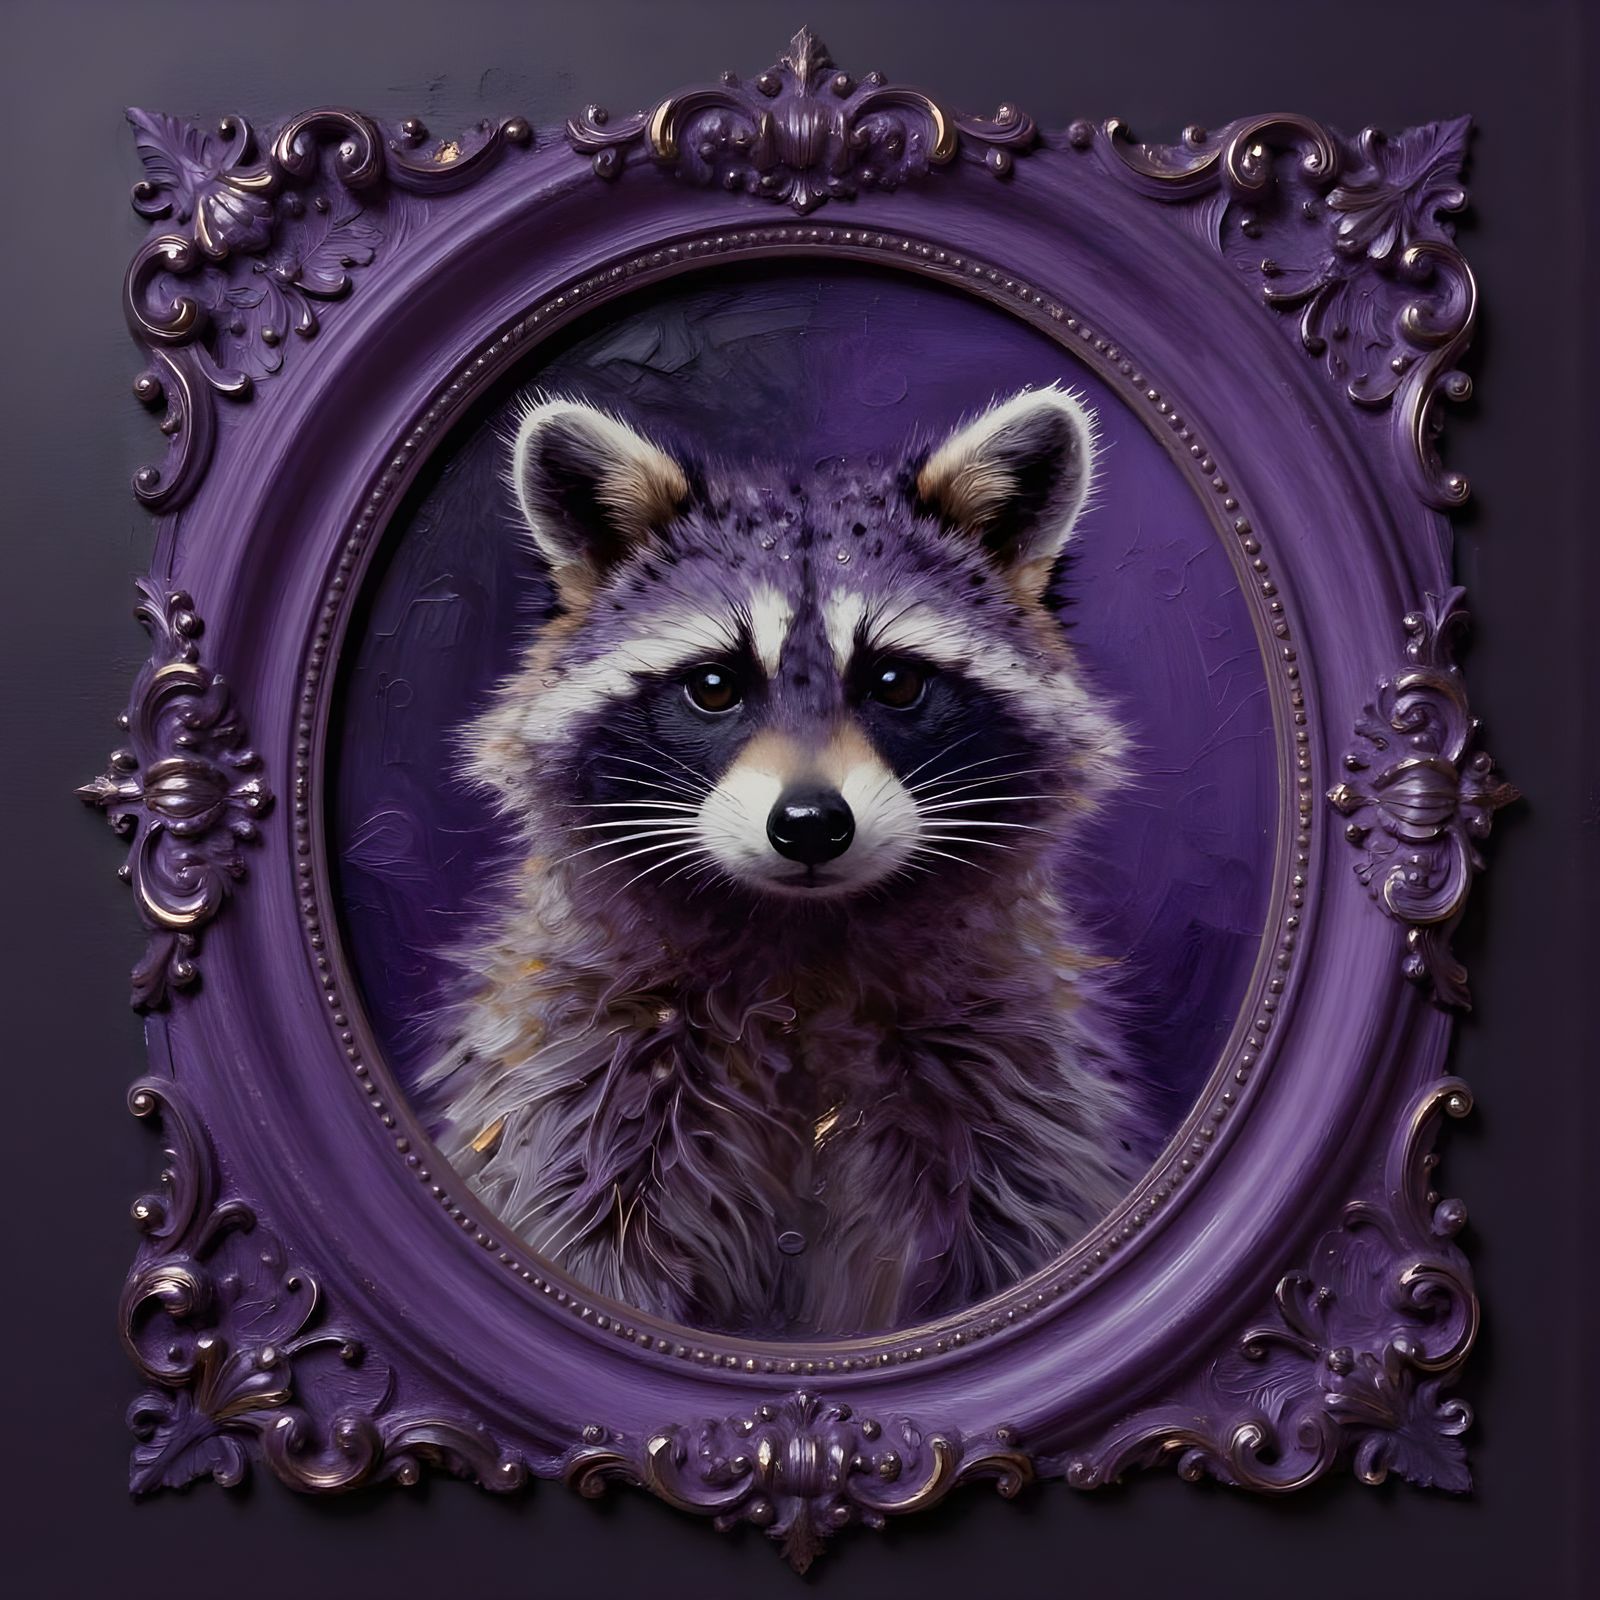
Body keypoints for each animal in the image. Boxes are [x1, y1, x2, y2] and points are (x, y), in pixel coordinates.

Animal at [421, 384, 1156, 1337]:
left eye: (894, 683)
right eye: (714, 687)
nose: (809, 825)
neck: (805, 944)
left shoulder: (1007, 1081)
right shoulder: (582, 1067)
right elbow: (574, 1226)